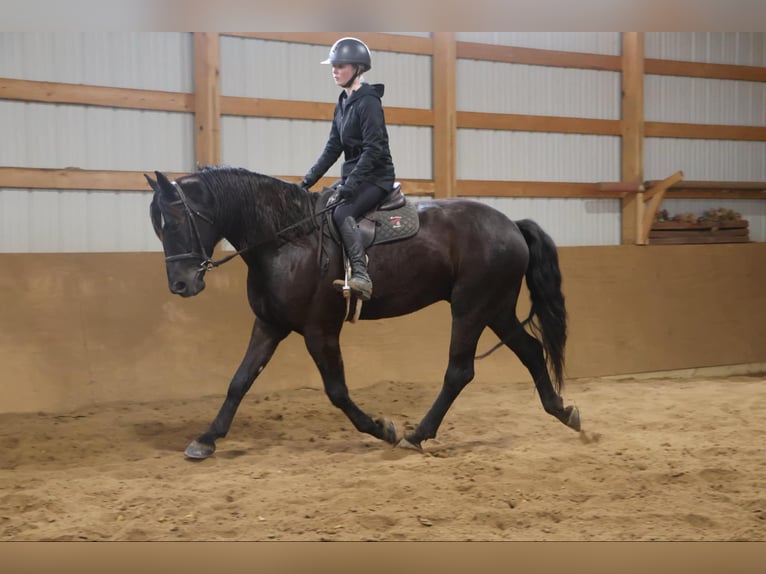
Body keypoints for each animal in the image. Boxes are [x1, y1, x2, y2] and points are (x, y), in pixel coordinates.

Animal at [145, 166, 580, 459]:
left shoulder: (320, 331)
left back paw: (416, 435)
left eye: (178, 220)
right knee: (531, 351)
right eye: (158, 227)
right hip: (496, 308)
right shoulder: (269, 325)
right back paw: (563, 411)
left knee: (460, 371)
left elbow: (337, 391)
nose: (181, 284)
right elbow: (239, 381)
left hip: (471, 308)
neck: (287, 239)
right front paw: (206, 439)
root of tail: (511, 224)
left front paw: (381, 428)